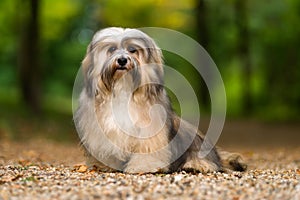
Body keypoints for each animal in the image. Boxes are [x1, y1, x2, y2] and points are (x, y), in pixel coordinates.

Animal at [74, 27, 246, 173]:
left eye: (132, 50)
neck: (124, 89)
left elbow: (148, 149)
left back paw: (195, 165)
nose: (122, 60)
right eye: (111, 49)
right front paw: (105, 165)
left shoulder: (151, 130)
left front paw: (144, 166)